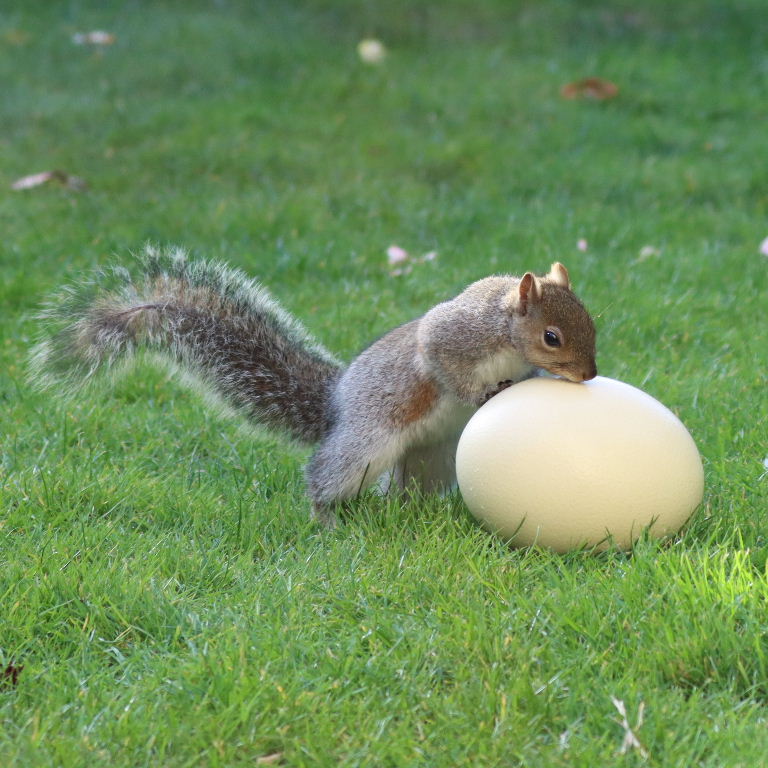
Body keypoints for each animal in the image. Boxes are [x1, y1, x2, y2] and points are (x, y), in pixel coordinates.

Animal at [29, 245, 597, 527]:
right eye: (551, 336)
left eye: (592, 322)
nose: (589, 375)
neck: (505, 328)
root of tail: (335, 408)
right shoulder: (456, 335)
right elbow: (440, 360)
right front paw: (482, 393)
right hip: (365, 443)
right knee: (325, 477)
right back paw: (326, 520)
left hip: (433, 458)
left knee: (410, 491)